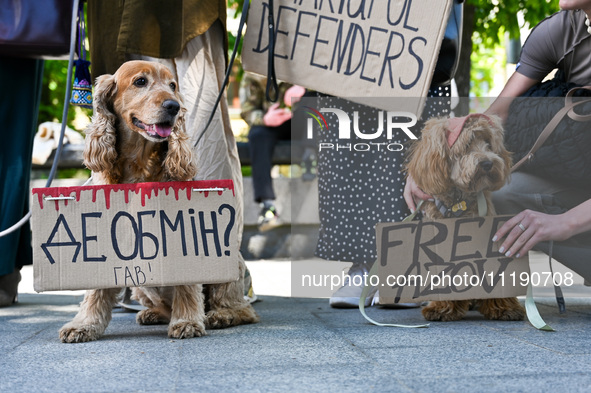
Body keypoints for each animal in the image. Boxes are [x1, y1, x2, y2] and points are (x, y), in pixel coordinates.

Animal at [59, 59, 260, 342]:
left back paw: (220, 315)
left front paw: (187, 321)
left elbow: (187, 285)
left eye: (172, 85)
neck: (139, 165)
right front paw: (84, 324)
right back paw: (153, 313)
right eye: (140, 81)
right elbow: (96, 291)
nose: (173, 106)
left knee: (242, 309)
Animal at [408, 114, 528, 322]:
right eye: (466, 145)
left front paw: (503, 307)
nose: (487, 163)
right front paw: (442, 308)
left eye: (488, 143)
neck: (459, 201)